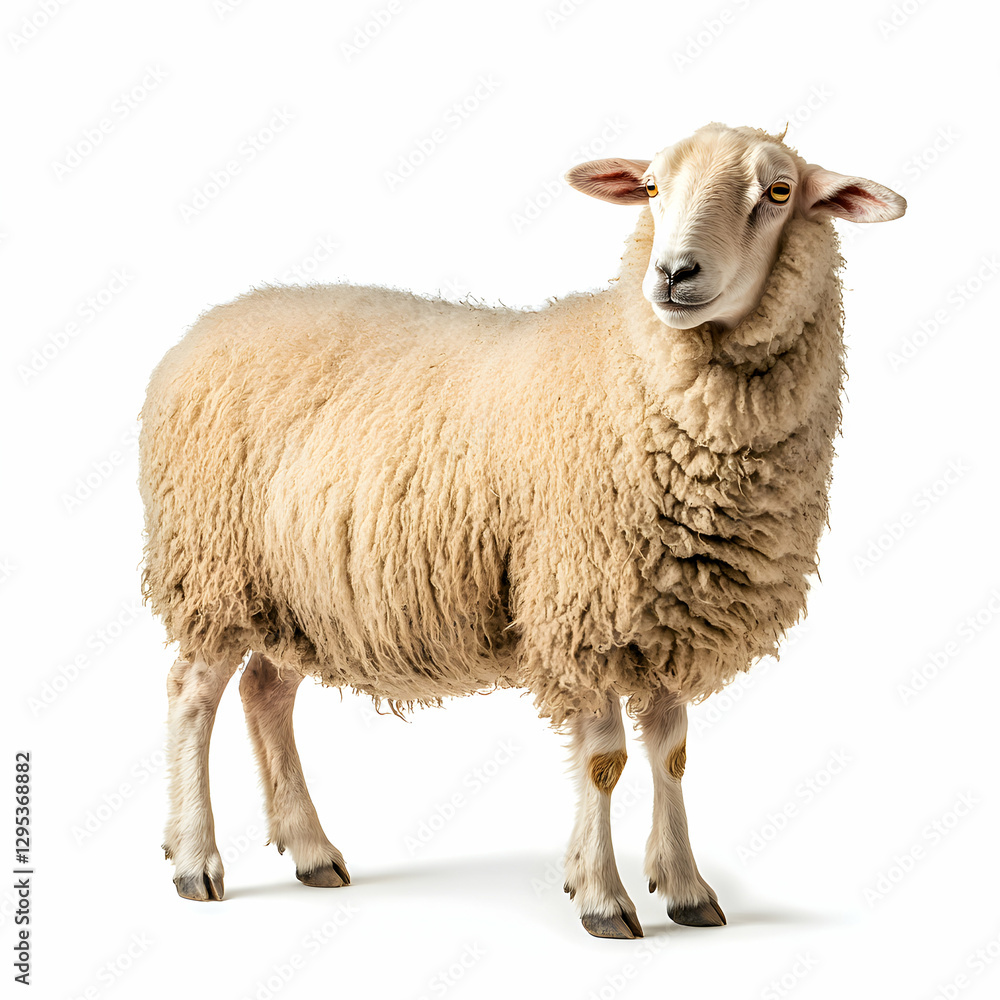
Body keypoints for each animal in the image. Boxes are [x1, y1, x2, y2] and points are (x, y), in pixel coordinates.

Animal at [139, 122, 905, 938]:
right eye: (653, 188)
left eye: (780, 191)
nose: (672, 274)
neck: (635, 372)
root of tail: (206, 326)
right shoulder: (583, 610)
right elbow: (605, 762)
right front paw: (602, 897)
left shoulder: (666, 612)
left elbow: (671, 755)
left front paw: (686, 888)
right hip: (212, 566)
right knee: (192, 694)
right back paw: (195, 860)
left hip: (296, 589)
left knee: (266, 692)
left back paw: (312, 850)